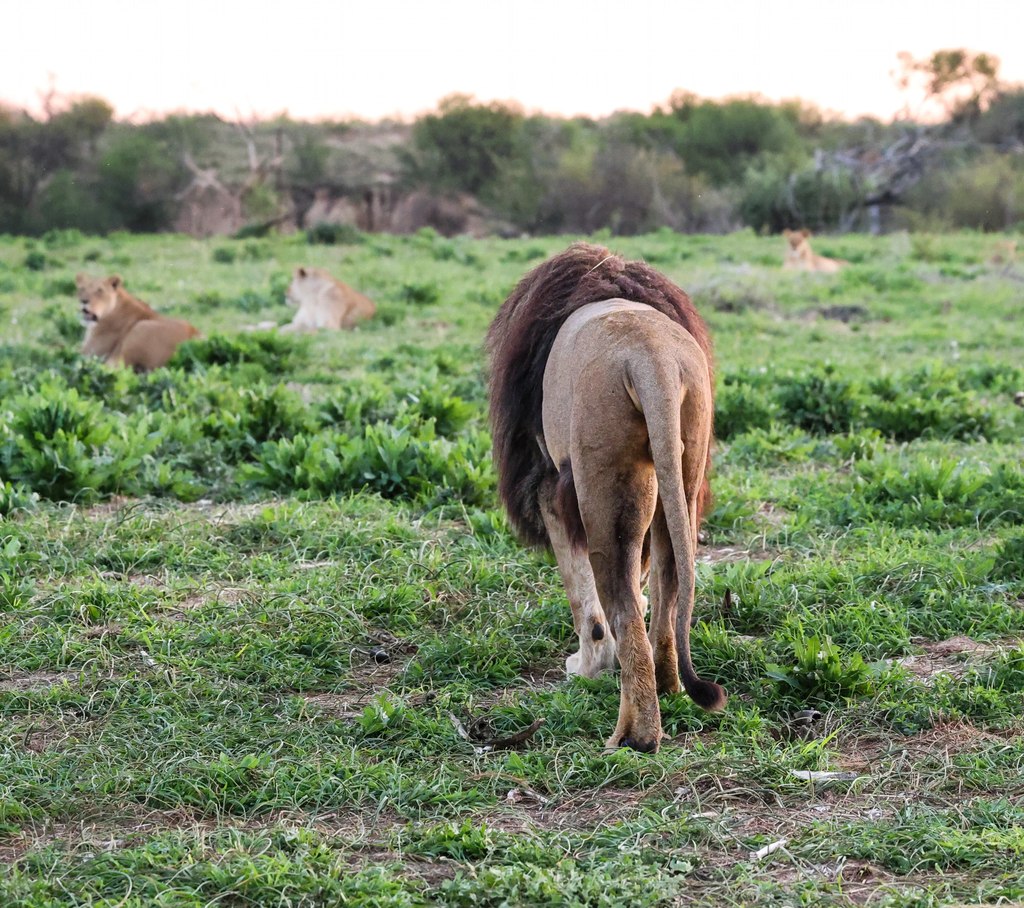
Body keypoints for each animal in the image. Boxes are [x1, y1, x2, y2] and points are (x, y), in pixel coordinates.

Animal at [487, 243, 726, 753]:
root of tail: (652, 357)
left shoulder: (550, 483)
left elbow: (582, 595)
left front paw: (588, 664)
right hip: (682, 469)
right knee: (667, 585)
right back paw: (669, 685)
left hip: (604, 486)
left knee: (621, 605)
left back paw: (634, 735)